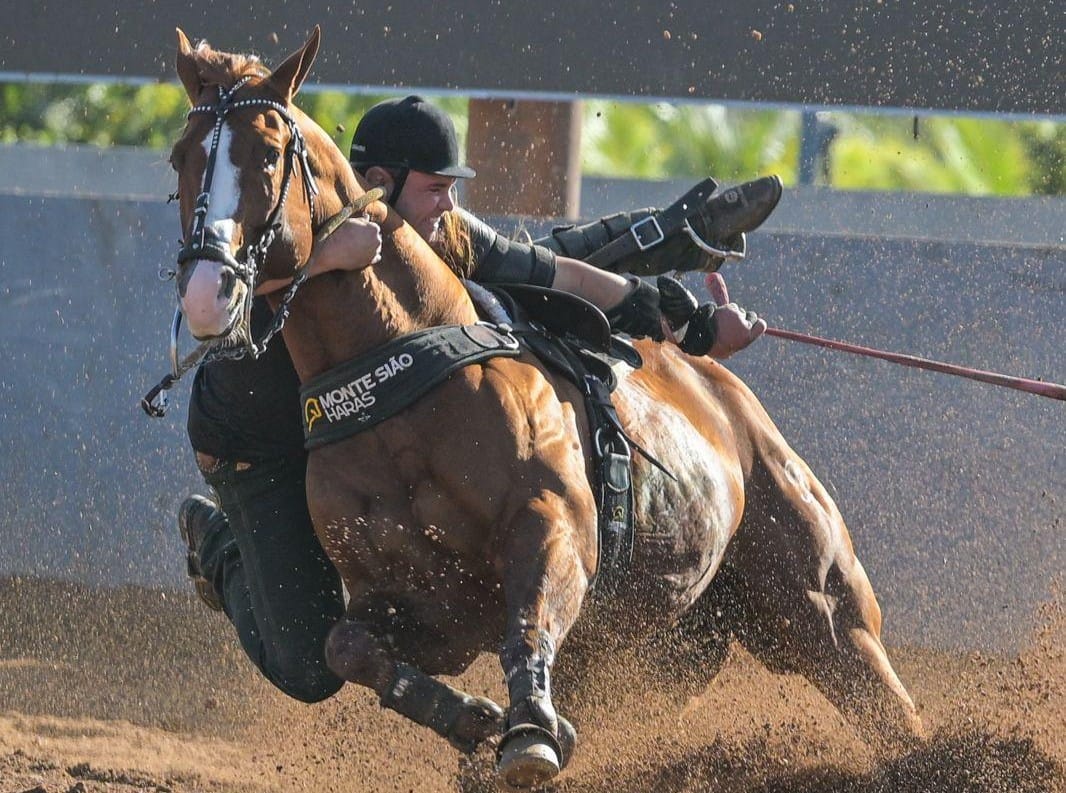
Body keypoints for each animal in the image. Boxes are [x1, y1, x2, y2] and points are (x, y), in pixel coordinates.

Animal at [169, 27, 922, 788]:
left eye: (267, 153)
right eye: (181, 158)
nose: (208, 290)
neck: (401, 383)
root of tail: (730, 400)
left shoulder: (551, 530)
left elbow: (528, 621)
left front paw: (528, 731)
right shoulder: (424, 604)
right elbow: (342, 646)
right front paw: (476, 720)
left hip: (822, 604)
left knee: (887, 703)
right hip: (669, 646)